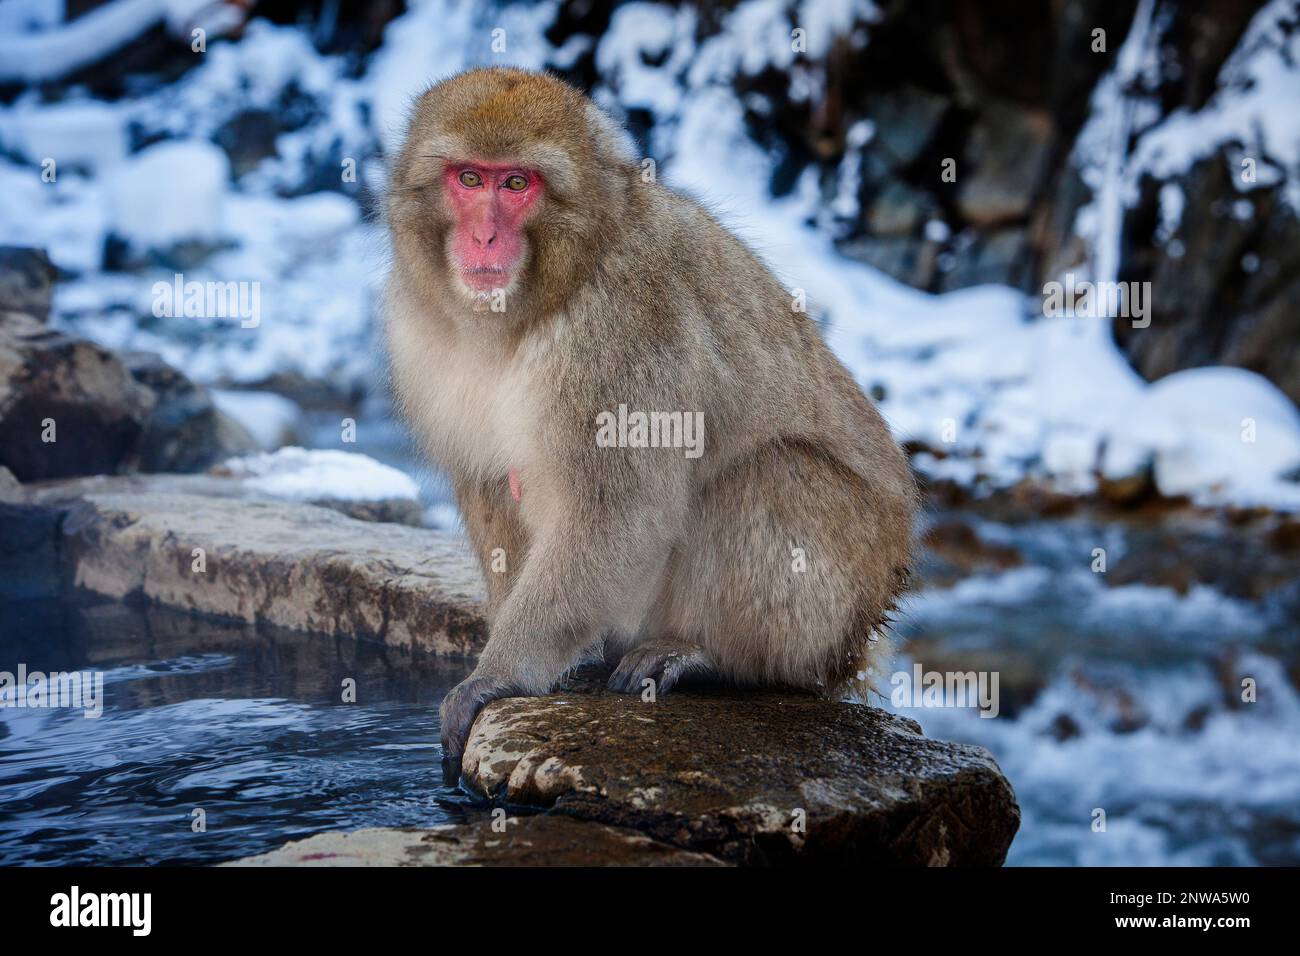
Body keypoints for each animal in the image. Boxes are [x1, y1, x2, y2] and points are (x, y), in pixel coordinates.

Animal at [384, 68, 918, 766]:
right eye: (470, 179)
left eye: (517, 184)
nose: (485, 237)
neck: (546, 295)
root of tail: (863, 630)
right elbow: (492, 485)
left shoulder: (623, 333)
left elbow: (618, 513)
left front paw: (499, 675)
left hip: (841, 593)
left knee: (768, 475)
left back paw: (715, 659)